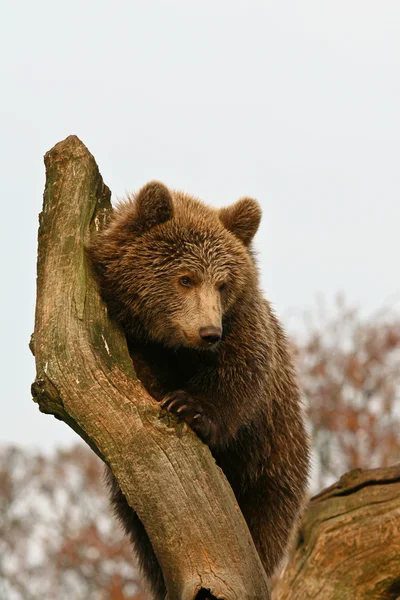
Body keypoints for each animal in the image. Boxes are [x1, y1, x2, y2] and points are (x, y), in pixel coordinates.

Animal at [89, 183, 310, 600]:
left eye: (222, 283)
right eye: (185, 278)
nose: (208, 332)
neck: (175, 347)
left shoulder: (241, 323)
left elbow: (241, 371)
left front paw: (188, 406)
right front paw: (164, 390)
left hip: (274, 460)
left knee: (264, 525)